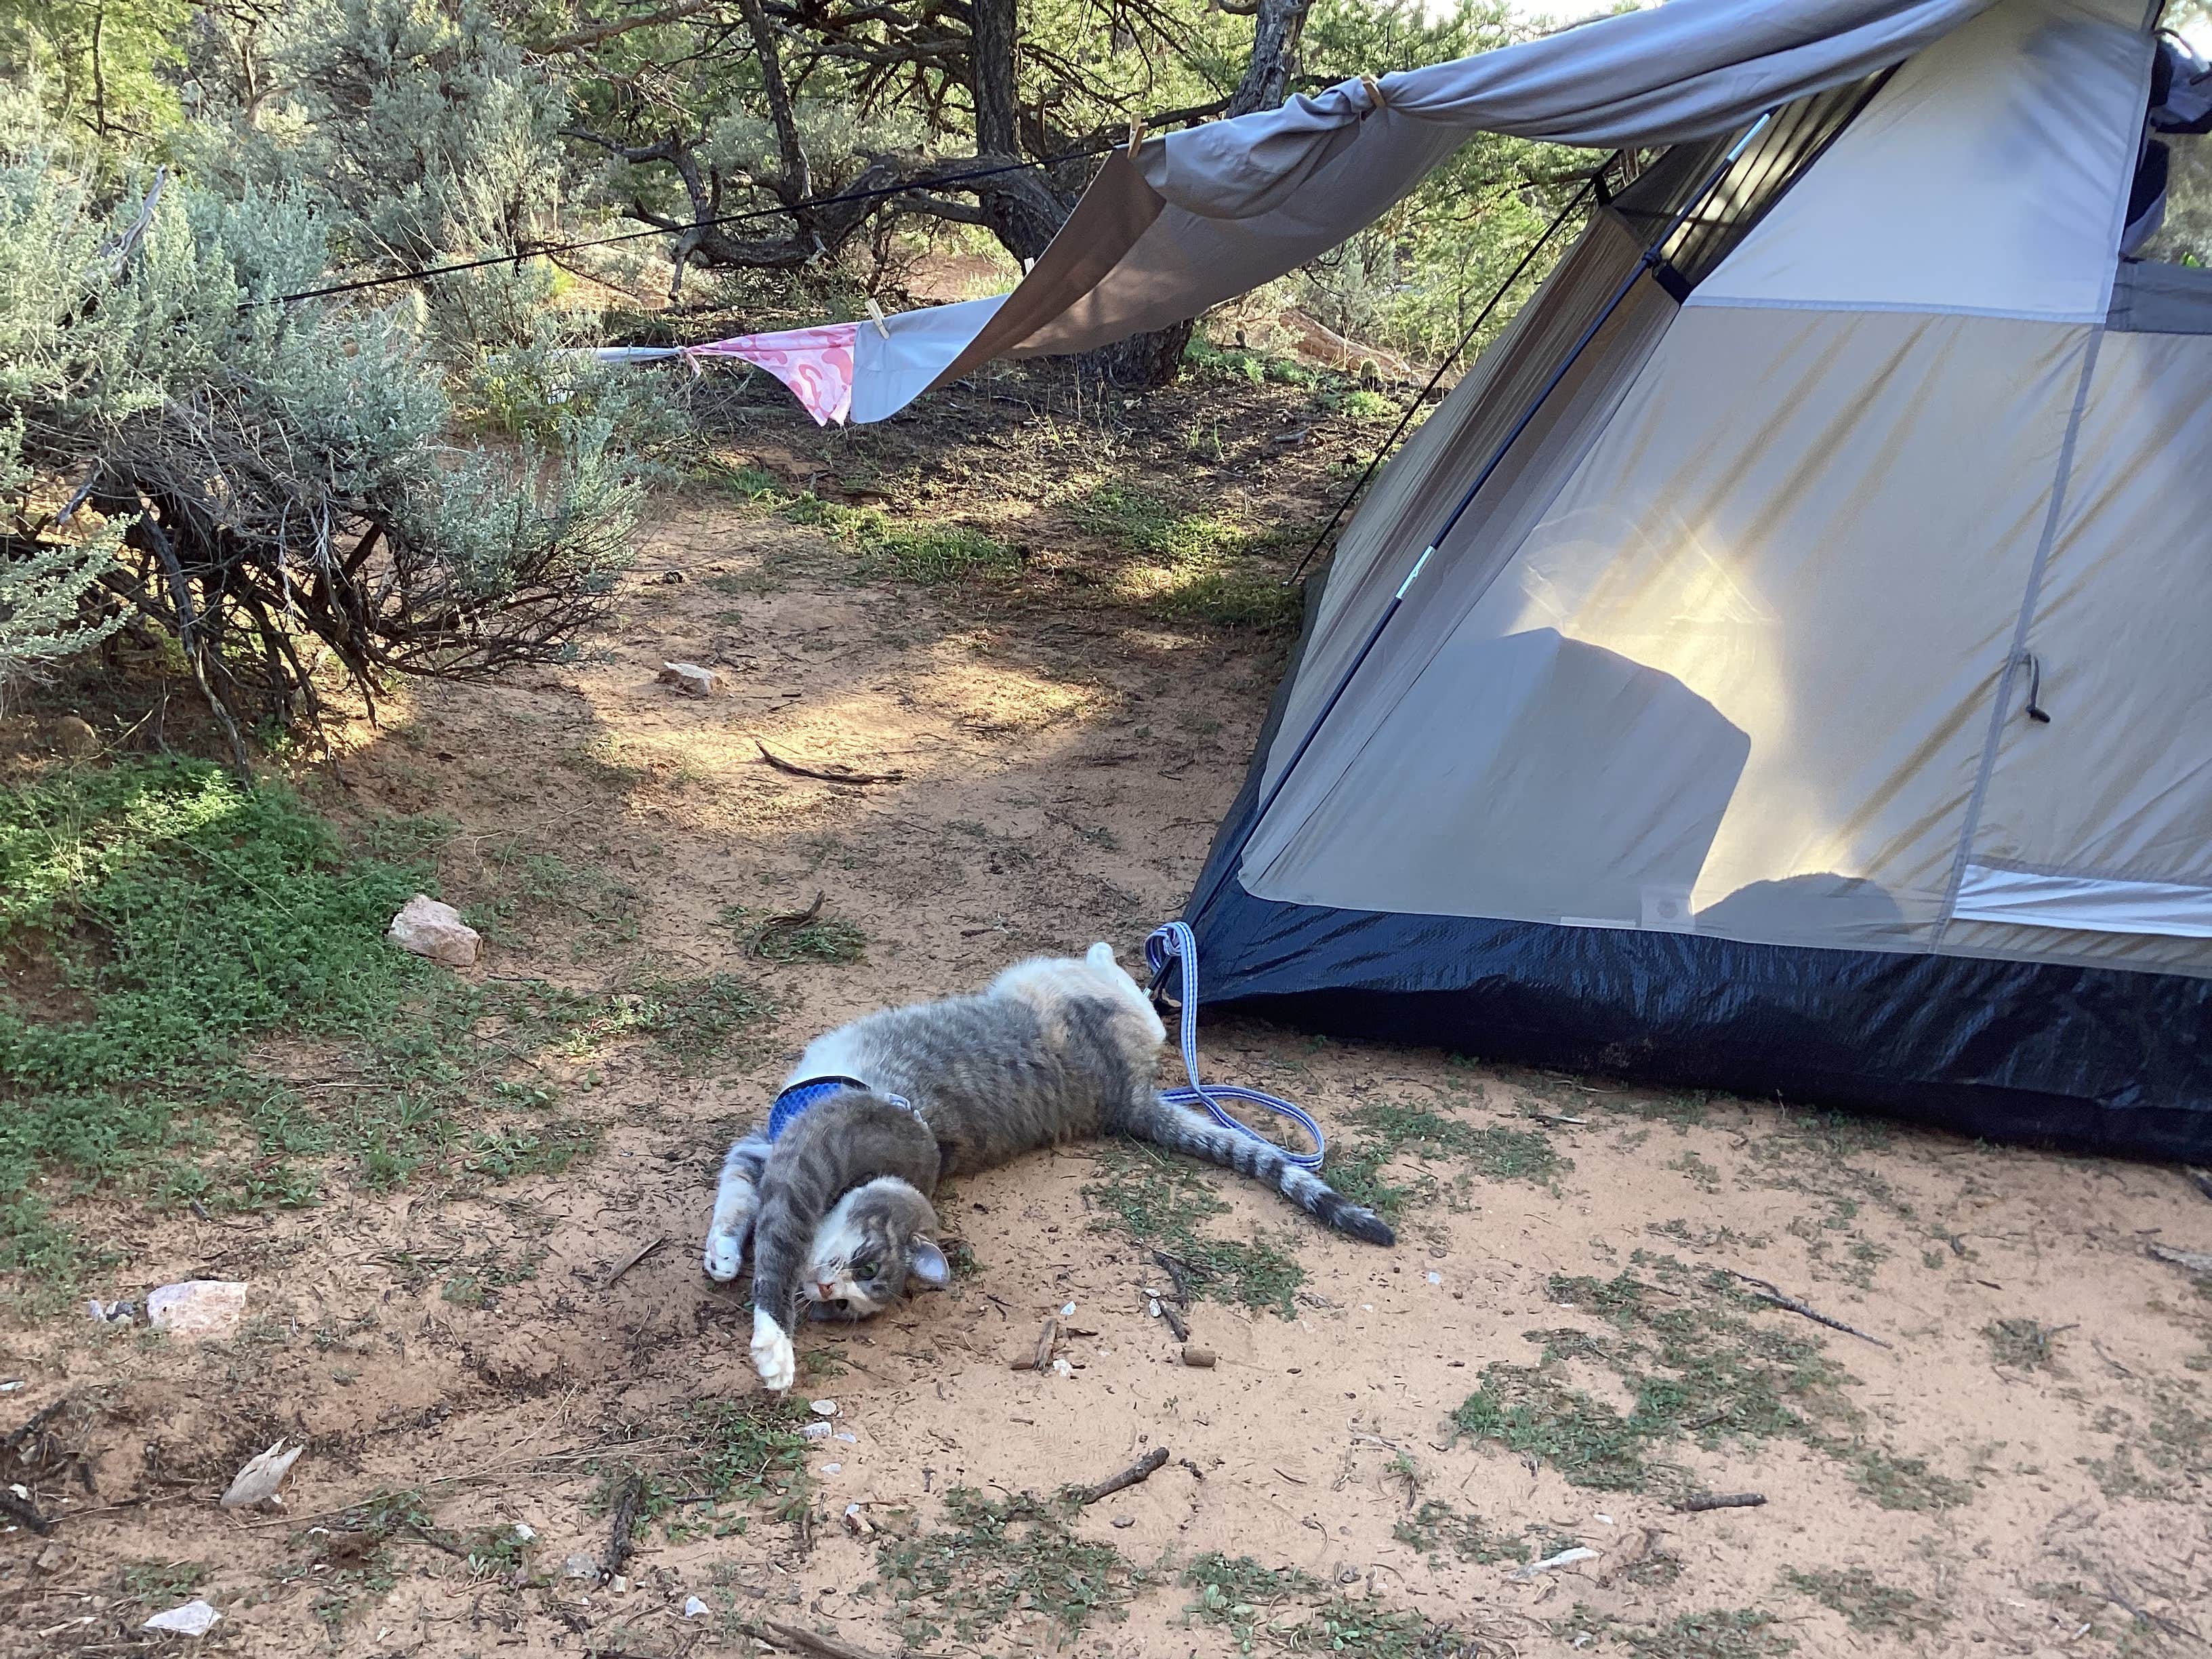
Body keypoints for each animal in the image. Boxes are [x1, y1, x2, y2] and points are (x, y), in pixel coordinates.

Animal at [699, 942, 1389, 1397]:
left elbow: (769, 1224)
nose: (822, 1291)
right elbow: (740, 1188)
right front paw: (728, 1255)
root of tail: (1125, 1098)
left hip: (1075, 997)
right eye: (862, 1266)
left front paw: (773, 1341)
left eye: (851, 1300)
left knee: (1147, 1008)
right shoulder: (786, 1146)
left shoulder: (795, 1154)